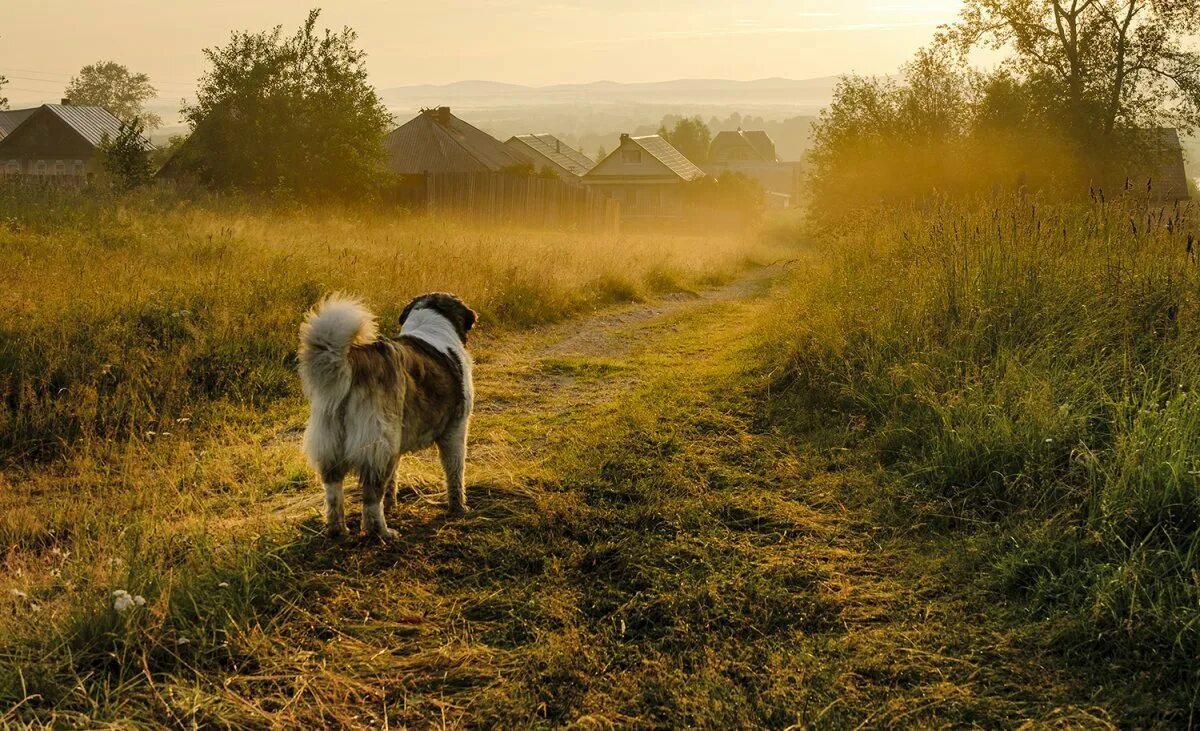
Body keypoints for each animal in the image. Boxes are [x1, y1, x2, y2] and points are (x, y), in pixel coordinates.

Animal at [297, 289, 475, 535]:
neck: (431, 324)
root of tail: (352, 360)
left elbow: (393, 481)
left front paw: (392, 506)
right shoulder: (456, 430)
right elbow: (455, 472)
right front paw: (458, 508)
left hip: (336, 445)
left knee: (334, 492)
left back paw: (338, 531)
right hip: (379, 446)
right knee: (371, 498)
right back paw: (381, 532)